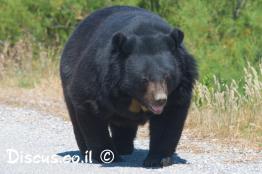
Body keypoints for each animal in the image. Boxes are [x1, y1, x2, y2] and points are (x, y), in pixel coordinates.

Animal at [60, 6, 198, 168]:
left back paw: (124, 147)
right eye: (144, 79)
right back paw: (88, 150)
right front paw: (107, 156)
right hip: (68, 76)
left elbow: (169, 119)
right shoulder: (97, 78)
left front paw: (157, 160)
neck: (132, 96)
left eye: (167, 77)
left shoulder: (180, 86)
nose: (160, 100)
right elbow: (90, 107)